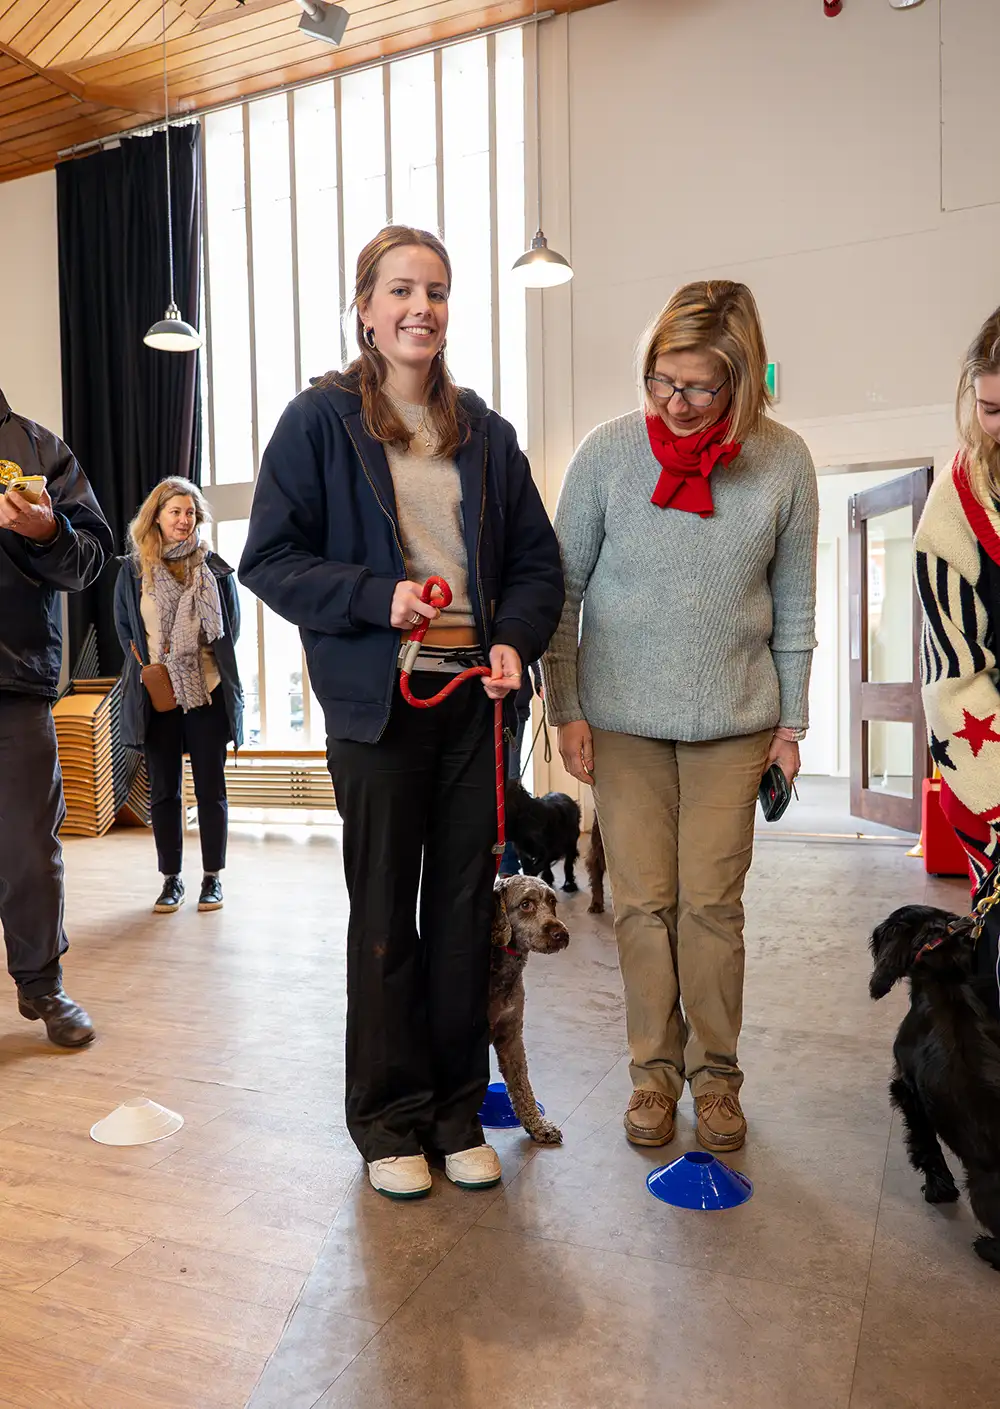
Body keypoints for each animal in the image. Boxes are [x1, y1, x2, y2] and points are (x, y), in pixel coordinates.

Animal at [489, 875, 569, 1144]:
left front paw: (537, 1126)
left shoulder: (511, 1036)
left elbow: (522, 1084)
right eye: (525, 904)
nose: (560, 933)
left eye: (552, 901)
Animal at [869, 903, 1000, 1270]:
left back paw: (986, 1248)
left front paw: (938, 1189)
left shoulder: (907, 1090)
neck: (946, 979)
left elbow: (926, 1144)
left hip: (984, 1190)